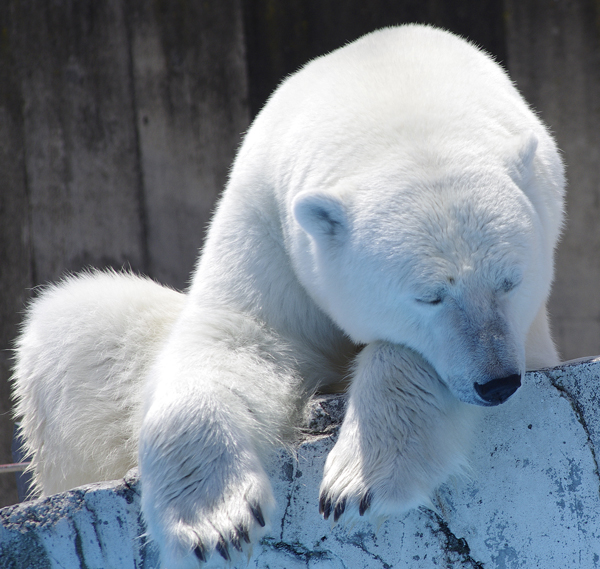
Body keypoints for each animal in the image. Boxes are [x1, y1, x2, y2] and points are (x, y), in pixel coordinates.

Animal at [15, 24, 568, 564]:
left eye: (510, 281)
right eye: (427, 297)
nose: (496, 382)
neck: (388, 86)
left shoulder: (529, 331)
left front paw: (355, 483)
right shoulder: (267, 225)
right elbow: (240, 339)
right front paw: (216, 521)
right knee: (79, 323)